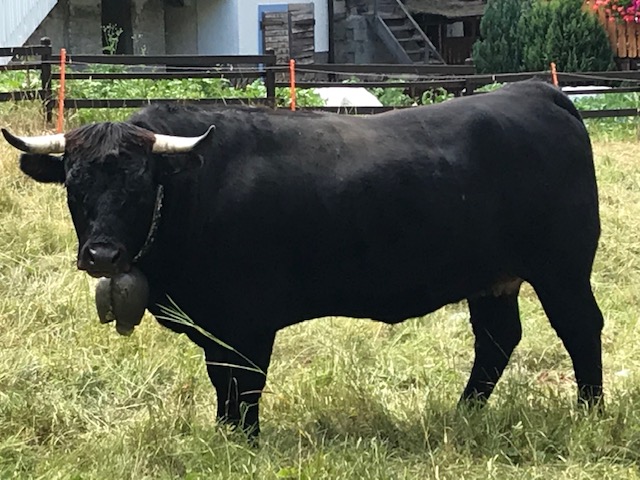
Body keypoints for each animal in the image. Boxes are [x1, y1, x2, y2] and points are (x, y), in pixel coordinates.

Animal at [2, 80, 604, 438]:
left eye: (138, 184)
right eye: (75, 185)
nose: (102, 254)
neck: (193, 189)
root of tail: (534, 90)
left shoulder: (245, 321)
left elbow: (242, 382)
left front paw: (243, 440)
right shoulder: (214, 324)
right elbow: (221, 381)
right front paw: (226, 435)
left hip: (563, 269)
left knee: (580, 327)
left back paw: (591, 411)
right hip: (491, 277)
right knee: (497, 339)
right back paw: (464, 414)